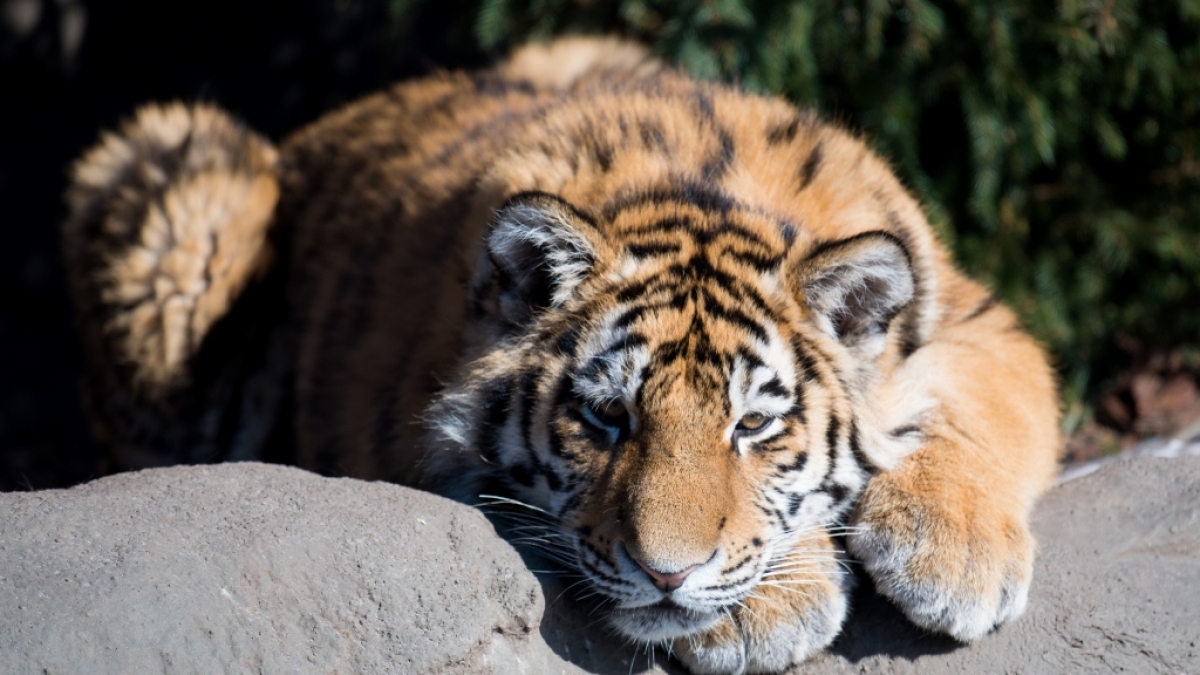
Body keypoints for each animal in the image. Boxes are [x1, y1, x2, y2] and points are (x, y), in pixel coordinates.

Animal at [63, 37, 1061, 674]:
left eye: (752, 426)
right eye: (606, 417)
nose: (669, 573)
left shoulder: (974, 312)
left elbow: (990, 405)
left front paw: (955, 554)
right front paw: (763, 608)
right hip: (176, 182)